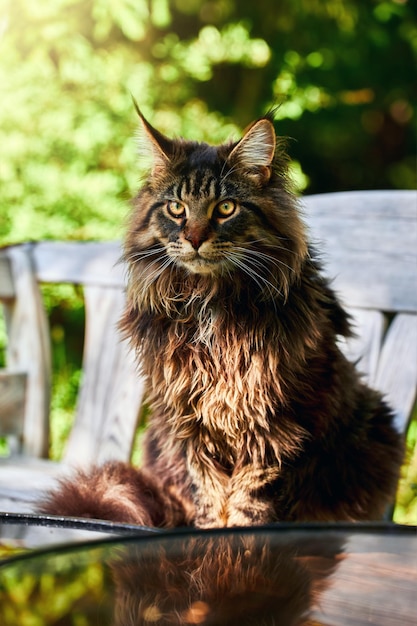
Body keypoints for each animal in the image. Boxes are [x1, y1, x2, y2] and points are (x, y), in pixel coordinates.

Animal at [40, 106, 402, 528]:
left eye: (226, 208)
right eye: (176, 208)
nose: (195, 238)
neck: (209, 303)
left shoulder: (276, 423)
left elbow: (250, 500)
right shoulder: (189, 421)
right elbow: (209, 494)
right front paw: (210, 532)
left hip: (372, 427)